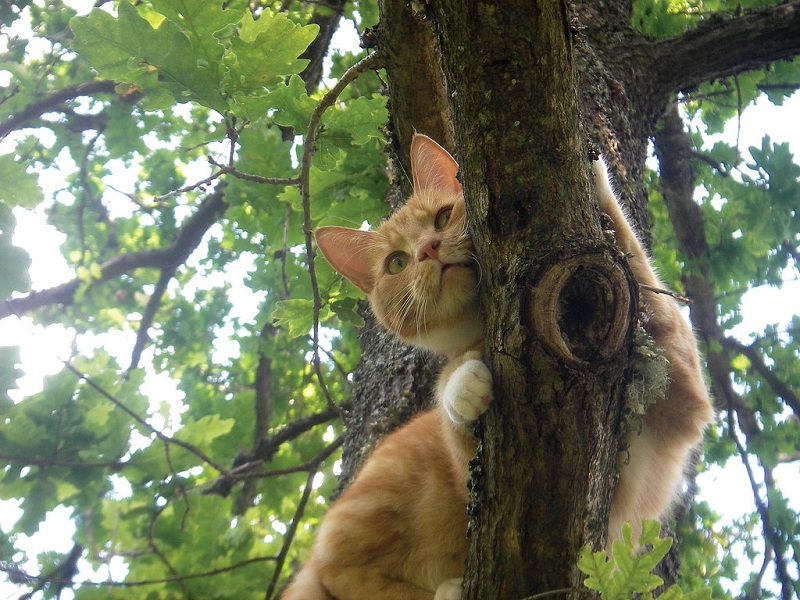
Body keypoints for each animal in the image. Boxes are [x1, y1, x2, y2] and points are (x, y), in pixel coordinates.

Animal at [280, 135, 712, 600]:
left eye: (443, 217)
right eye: (396, 263)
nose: (427, 249)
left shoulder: (680, 383)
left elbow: (635, 265)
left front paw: (594, 172)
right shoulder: (474, 476)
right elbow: (451, 401)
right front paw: (459, 386)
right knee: (344, 576)